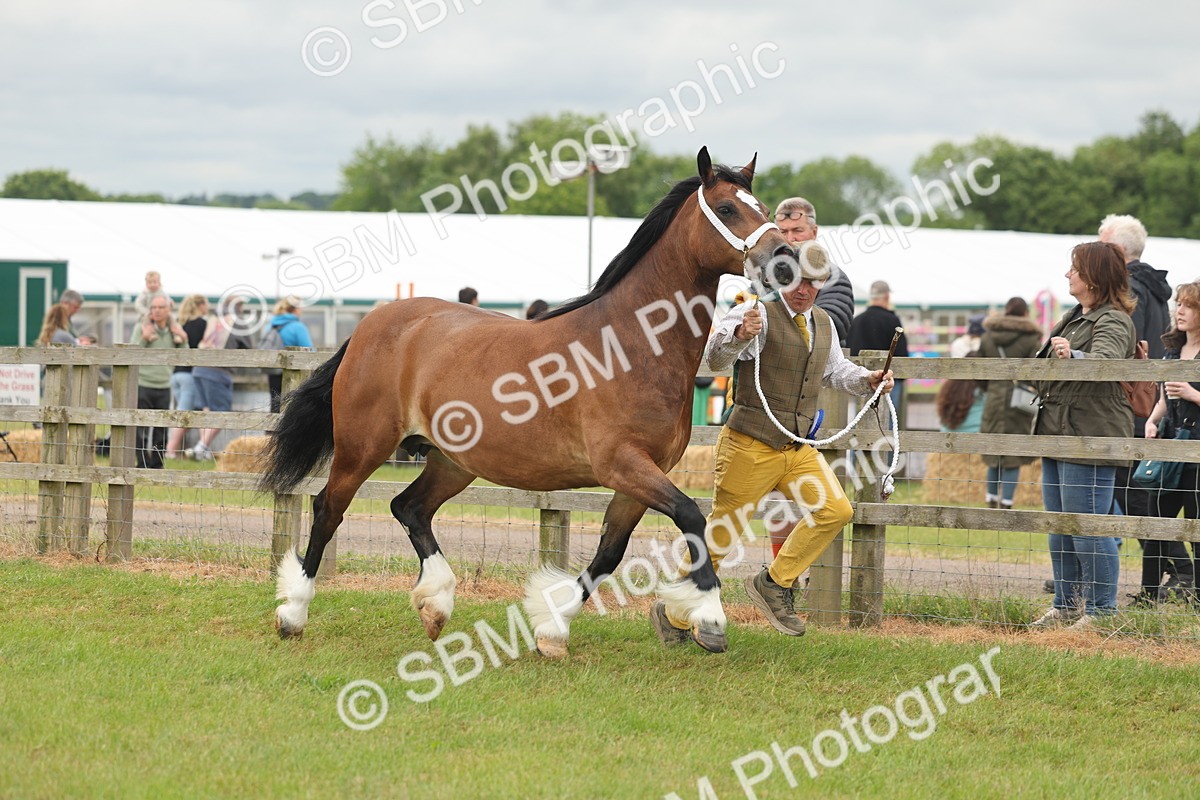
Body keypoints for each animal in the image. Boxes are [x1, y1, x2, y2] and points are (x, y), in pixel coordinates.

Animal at [259, 147, 792, 656]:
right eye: (726, 208)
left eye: (765, 209)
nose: (785, 259)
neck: (630, 345)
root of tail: (373, 323)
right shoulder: (622, 464)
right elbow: (691, 517)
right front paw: (710, 620)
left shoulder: (641, 477)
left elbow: (610, 553)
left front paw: (553, 628)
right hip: (362, 446)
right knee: (328, 508)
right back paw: (294, 613)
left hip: (453, 461)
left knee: (408, 507)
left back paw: (435, 603)